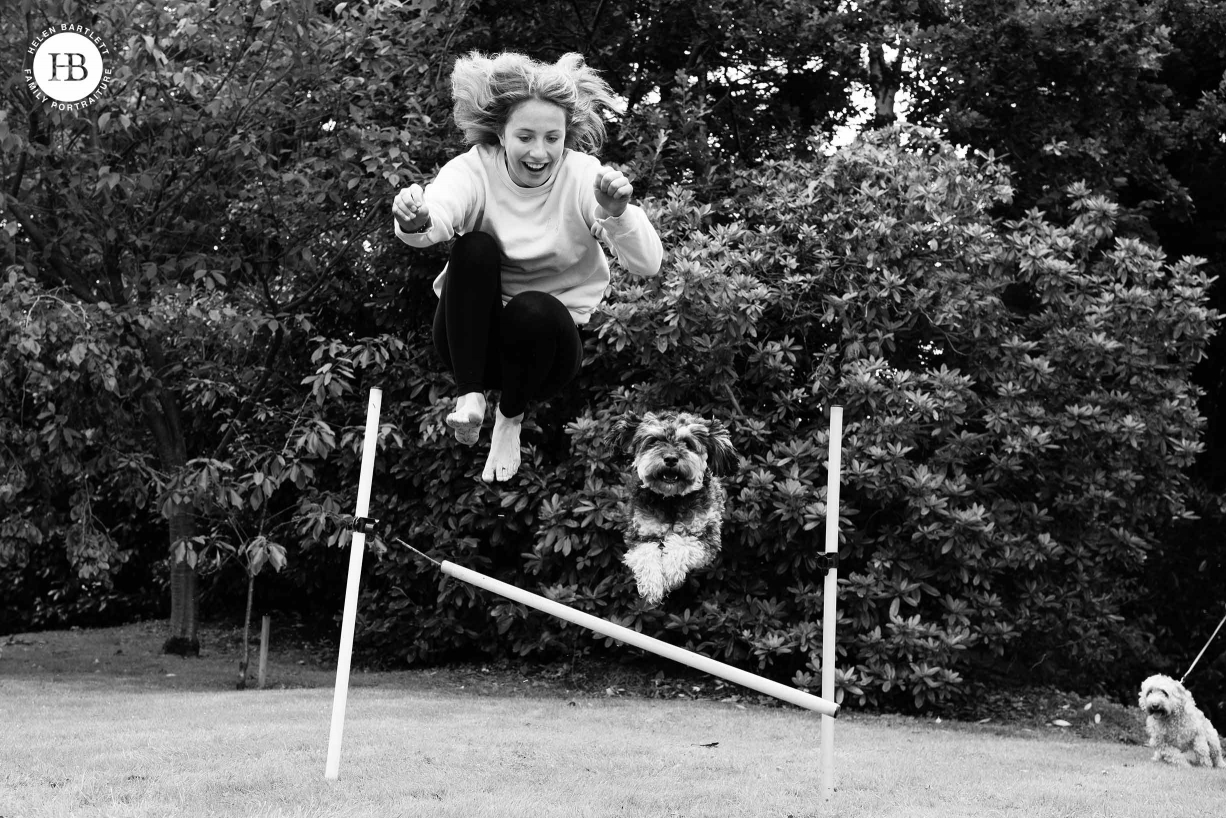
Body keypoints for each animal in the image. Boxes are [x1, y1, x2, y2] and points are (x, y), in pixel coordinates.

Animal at [605, 409, 730, 608]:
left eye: (687, 443)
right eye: (654, 440)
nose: (670, 458)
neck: (671, 500)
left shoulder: (706, 534)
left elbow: (682, 544)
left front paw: (671, 575)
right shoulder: (641, 533)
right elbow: (646, 554)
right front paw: (652, 588)